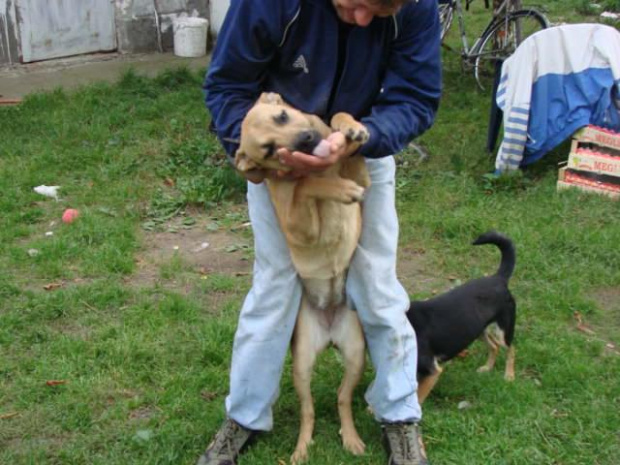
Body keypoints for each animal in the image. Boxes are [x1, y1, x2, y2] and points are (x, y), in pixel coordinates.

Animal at [235, 92, 370, 462]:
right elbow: (308, 183)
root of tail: (329, 331)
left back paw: (351, 438)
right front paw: (333, 186)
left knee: (342, 399)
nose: (306, 141)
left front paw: (351, 128)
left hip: (356, 354)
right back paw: (301, 449)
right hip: (302, 365)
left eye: (282, 116)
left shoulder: (363, 178)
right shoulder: (301, 228)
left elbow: (342, 123)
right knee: (308, 411)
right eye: (269, 150)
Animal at [410, 230, 516, 400]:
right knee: (494, 346)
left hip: (503, 330)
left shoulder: (431, 370)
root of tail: (498, 278)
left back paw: (509, 376)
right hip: (477, 330)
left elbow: (418, 398)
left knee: (511, 349)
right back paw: (487, 368)